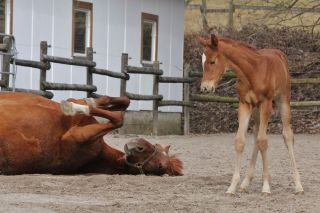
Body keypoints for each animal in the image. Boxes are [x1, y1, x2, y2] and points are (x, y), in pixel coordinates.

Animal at [0, 92, 181, 176]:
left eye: (160, 167)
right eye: (156, 145)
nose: (138, 146)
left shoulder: (75, 138)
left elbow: (118, 118)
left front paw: (71, 107)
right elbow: (122, 102)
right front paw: (85, 103)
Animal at [198, 33, 304, 195]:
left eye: (212, 61)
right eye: (202, 62)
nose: (205, 88)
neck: (252, 72)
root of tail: (279, 53)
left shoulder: (266, 103)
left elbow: (263, 141)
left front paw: (266, 186)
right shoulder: (244, 104)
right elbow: (240, 141)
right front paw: (233, 187)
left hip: (283, 100)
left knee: (287, 136)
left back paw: (298, 185)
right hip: (255, 110)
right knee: (255, 134)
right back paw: (246, 182)